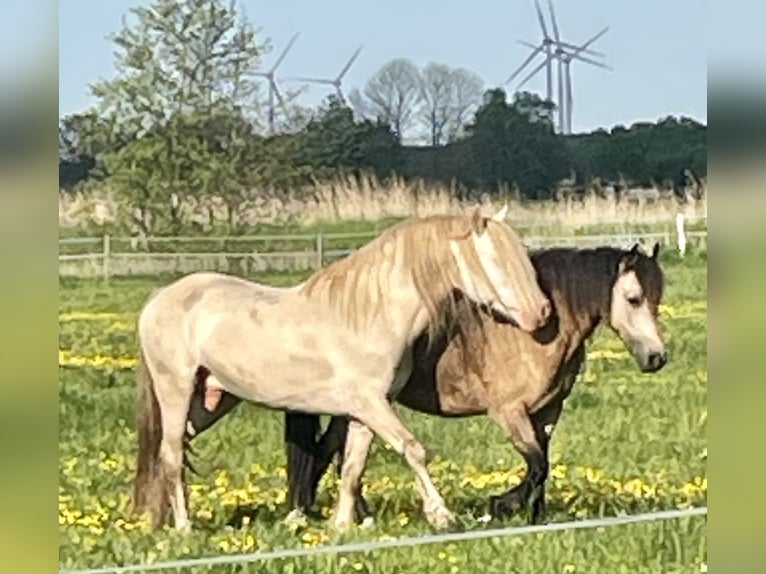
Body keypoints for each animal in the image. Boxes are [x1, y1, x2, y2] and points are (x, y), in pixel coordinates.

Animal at [132, 209, 552, 532]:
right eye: (495, 260)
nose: (542, 312)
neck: (369, 316)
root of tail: (160, 296)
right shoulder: (372, 405)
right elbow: (413, 450)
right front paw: (442, 516)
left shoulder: (366, 412)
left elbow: (353, 467)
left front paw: (342, 526)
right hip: (176, 391)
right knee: (171, 453)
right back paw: (184, 527)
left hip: (212, 401)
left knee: (172, 451)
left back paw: (163, 518)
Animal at [183, 243, 668, 528]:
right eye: (632, 299)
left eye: (656, 298)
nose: (656, 358)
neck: (534, 329)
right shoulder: (508, 412)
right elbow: (535, 464)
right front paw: (501, 505)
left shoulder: (547, 413)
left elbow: (542, 466)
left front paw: (535, 516)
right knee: (325, 457)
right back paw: (311, 515)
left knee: (332, 456)